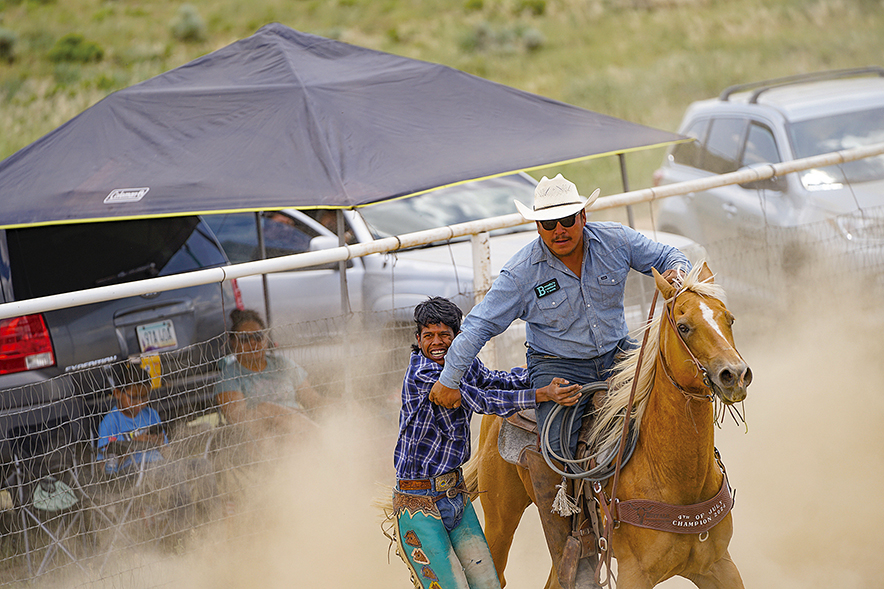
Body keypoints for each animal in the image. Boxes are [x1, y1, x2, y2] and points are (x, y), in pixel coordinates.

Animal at [476, 264, 752, 588]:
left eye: (729, 318)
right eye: (684, 327)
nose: (735, 375)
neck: (675, 477)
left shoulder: (718, 565)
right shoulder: (635, 574)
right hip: (500, 518)